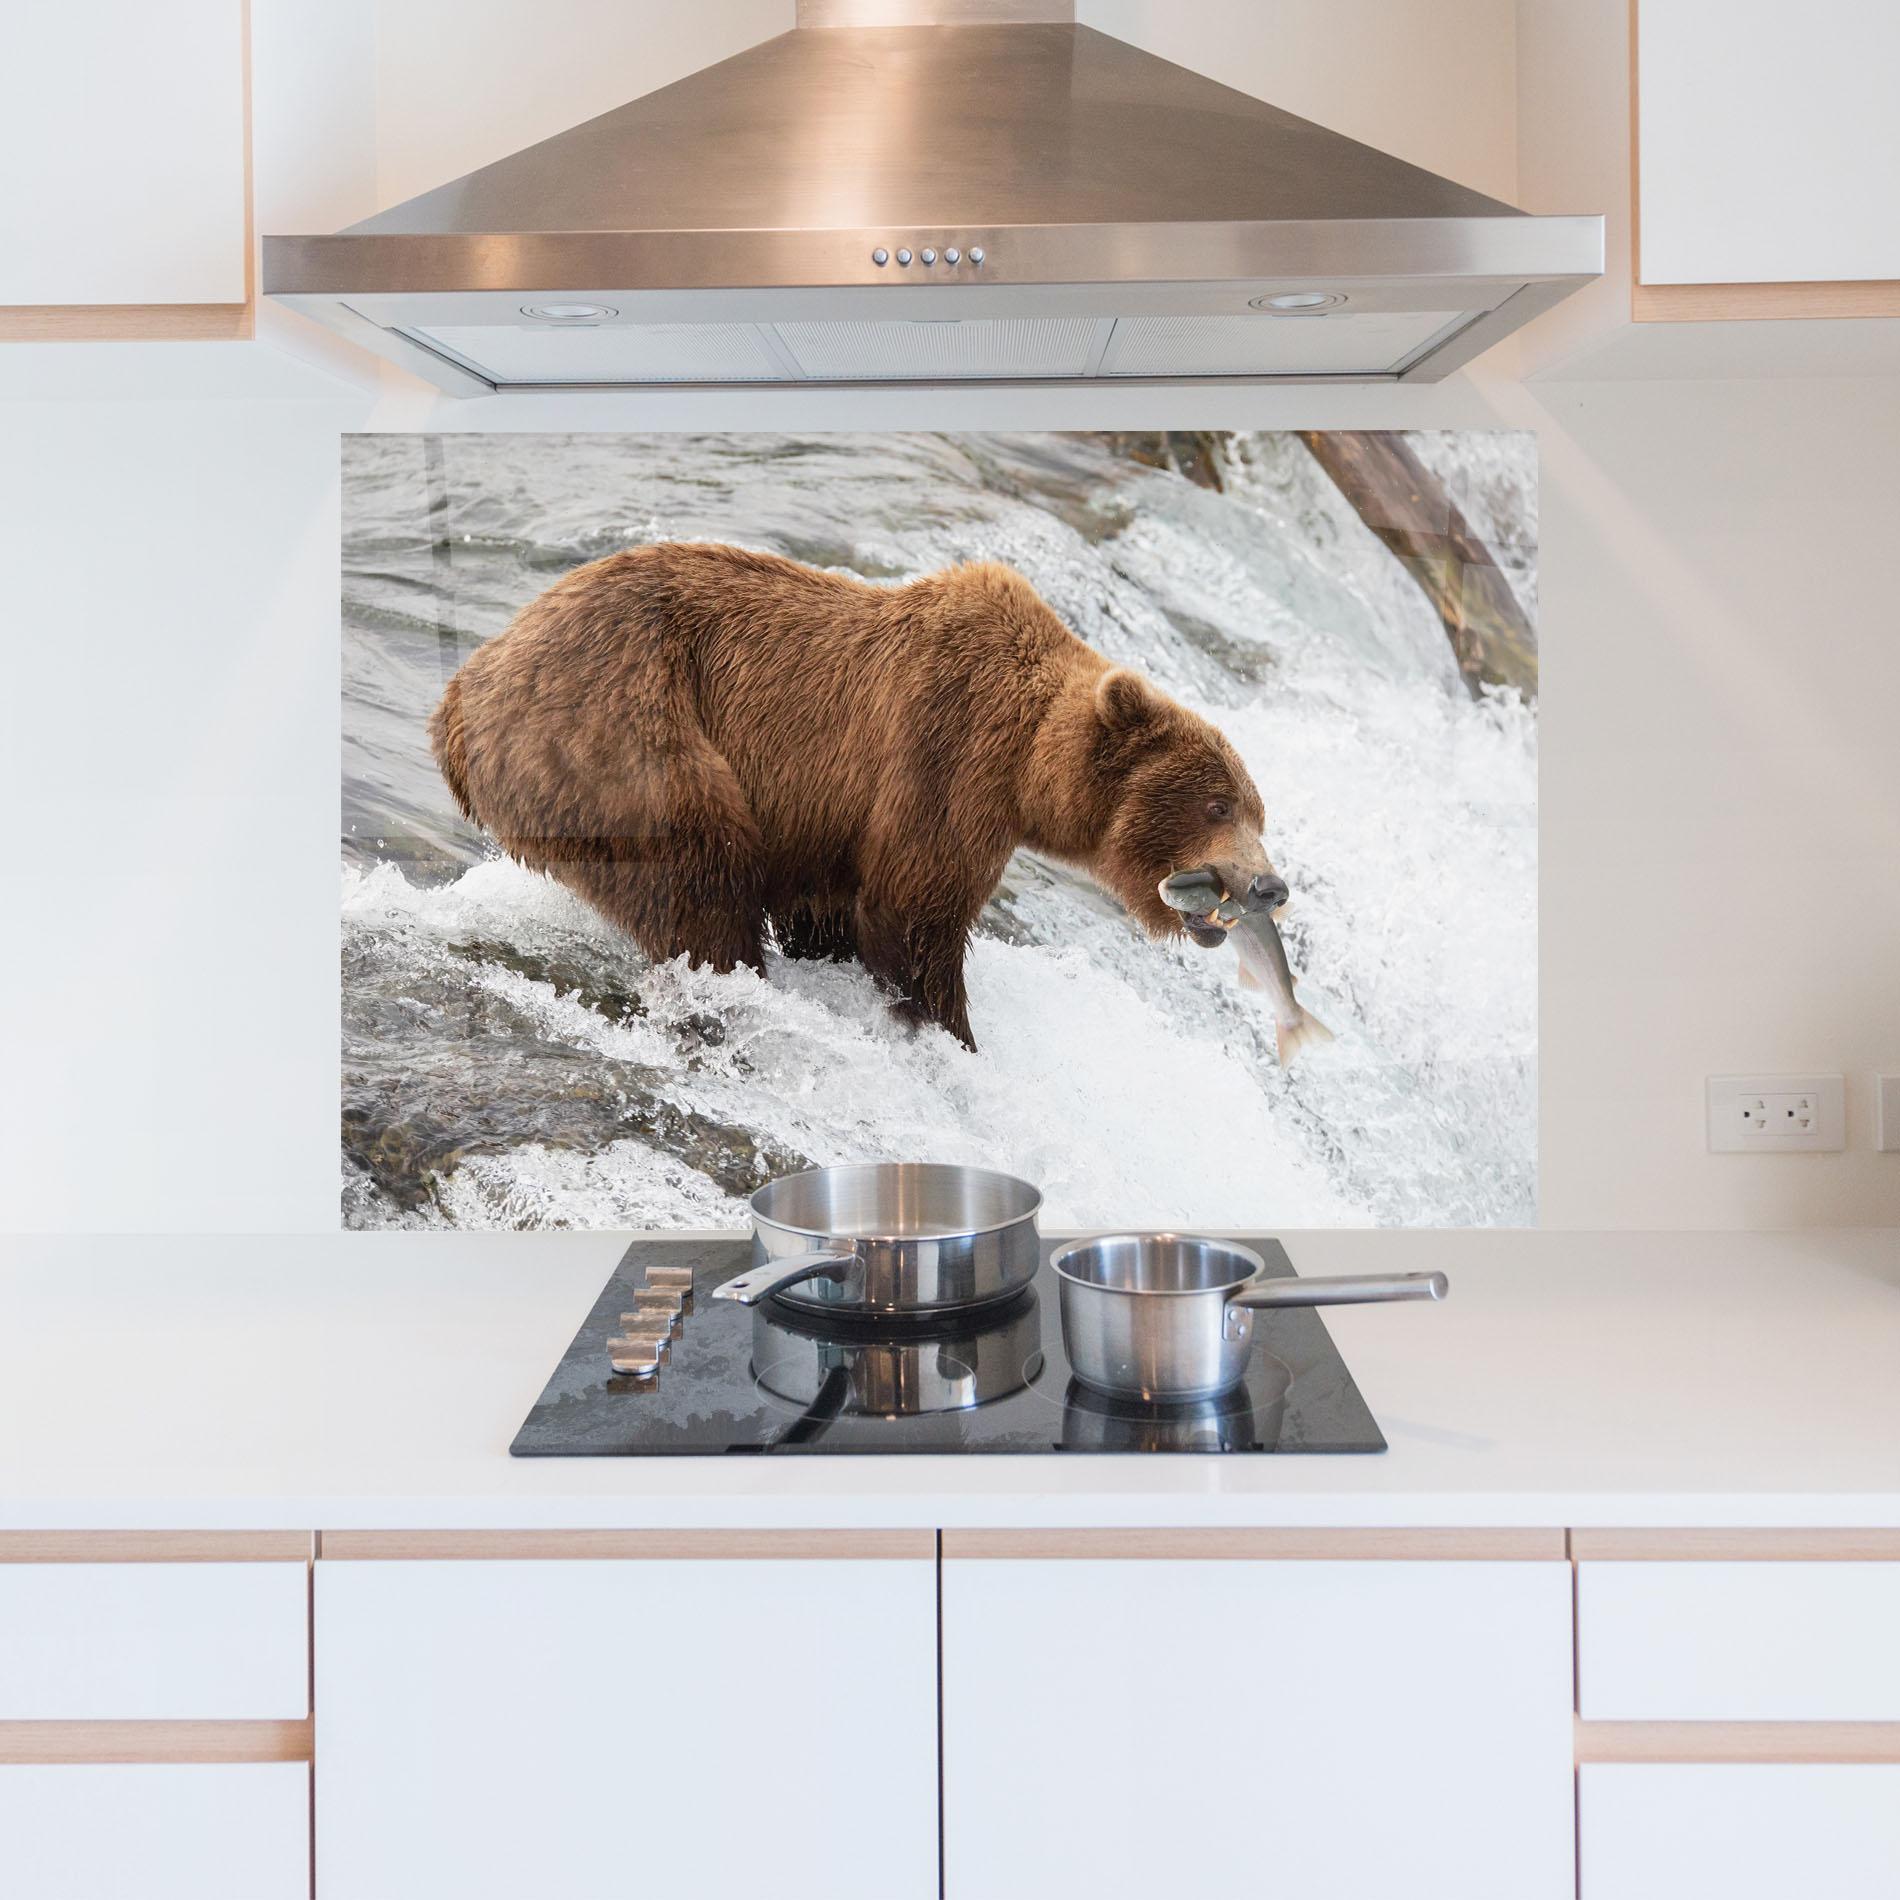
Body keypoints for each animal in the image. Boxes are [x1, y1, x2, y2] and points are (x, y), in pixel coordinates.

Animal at [430, 542, 1285, 1050]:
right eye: (1218, 805)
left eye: (1257, 810)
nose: (1269, 885)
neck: (1027, 765)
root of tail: (459, 696)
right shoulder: (944, 757)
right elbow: (913, 914)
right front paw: (950, 1032)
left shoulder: (828, 822)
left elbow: (832, 909)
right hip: (619, 727)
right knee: (700, 870)